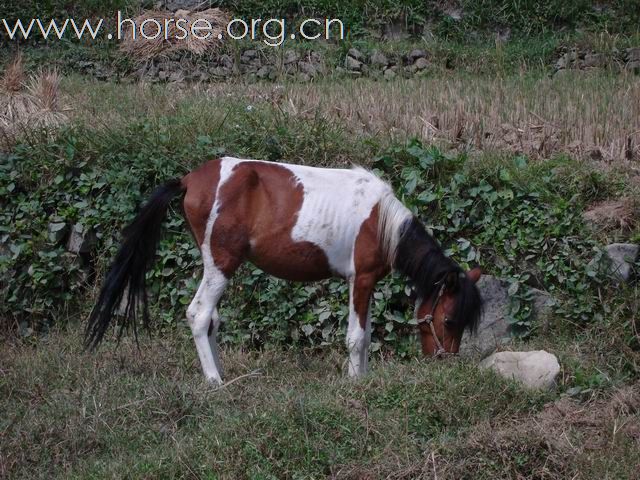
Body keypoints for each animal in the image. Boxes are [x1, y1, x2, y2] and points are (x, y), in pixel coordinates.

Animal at [87, 157, 482, 382]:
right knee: (198, 314)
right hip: (221, 264)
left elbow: (366, 334)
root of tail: (188, 180)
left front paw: (364, 379)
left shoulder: (363, 284)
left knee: (211, 318)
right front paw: (356, 385)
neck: (381, 221)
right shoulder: (362, 280)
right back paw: (215, 382)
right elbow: (357, 337)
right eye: (449, 320)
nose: (445, 361)